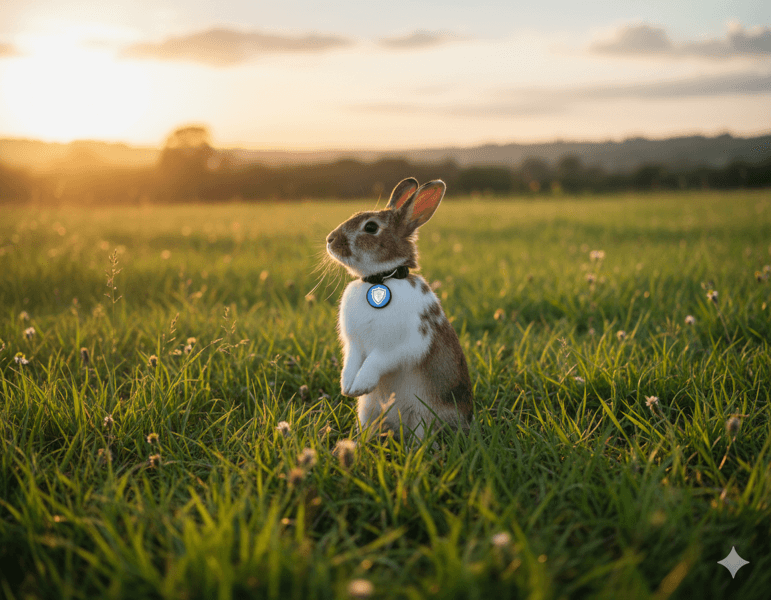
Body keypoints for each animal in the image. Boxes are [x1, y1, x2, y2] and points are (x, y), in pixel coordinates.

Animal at [325, 177, 473, 440]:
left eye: (371, 227)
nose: (329, 240)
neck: (381, 279)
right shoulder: (353, 345)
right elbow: (351, 362)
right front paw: (347, 388)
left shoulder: (401, 345)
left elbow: (376, 361)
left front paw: (360, 386)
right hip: (368, 410)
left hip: (422, 416)